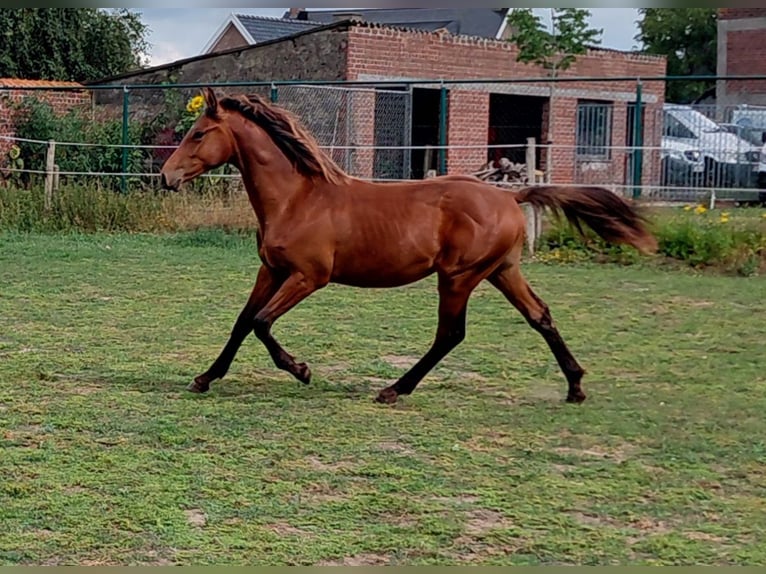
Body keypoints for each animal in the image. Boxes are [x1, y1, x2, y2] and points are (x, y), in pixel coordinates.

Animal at [160, 87, 657, 405]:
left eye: (199, 134)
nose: (166, 177)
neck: (298, 198)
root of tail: (510, 196)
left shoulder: (309, 276)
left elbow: (262, 323)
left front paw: (301, 370)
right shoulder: (272, 270)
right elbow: (242, 322)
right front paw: (204, 378)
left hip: (459, 277)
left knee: (450, 334)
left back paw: (393, 390)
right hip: (502, 271)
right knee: (541, 316)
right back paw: (575, 387)